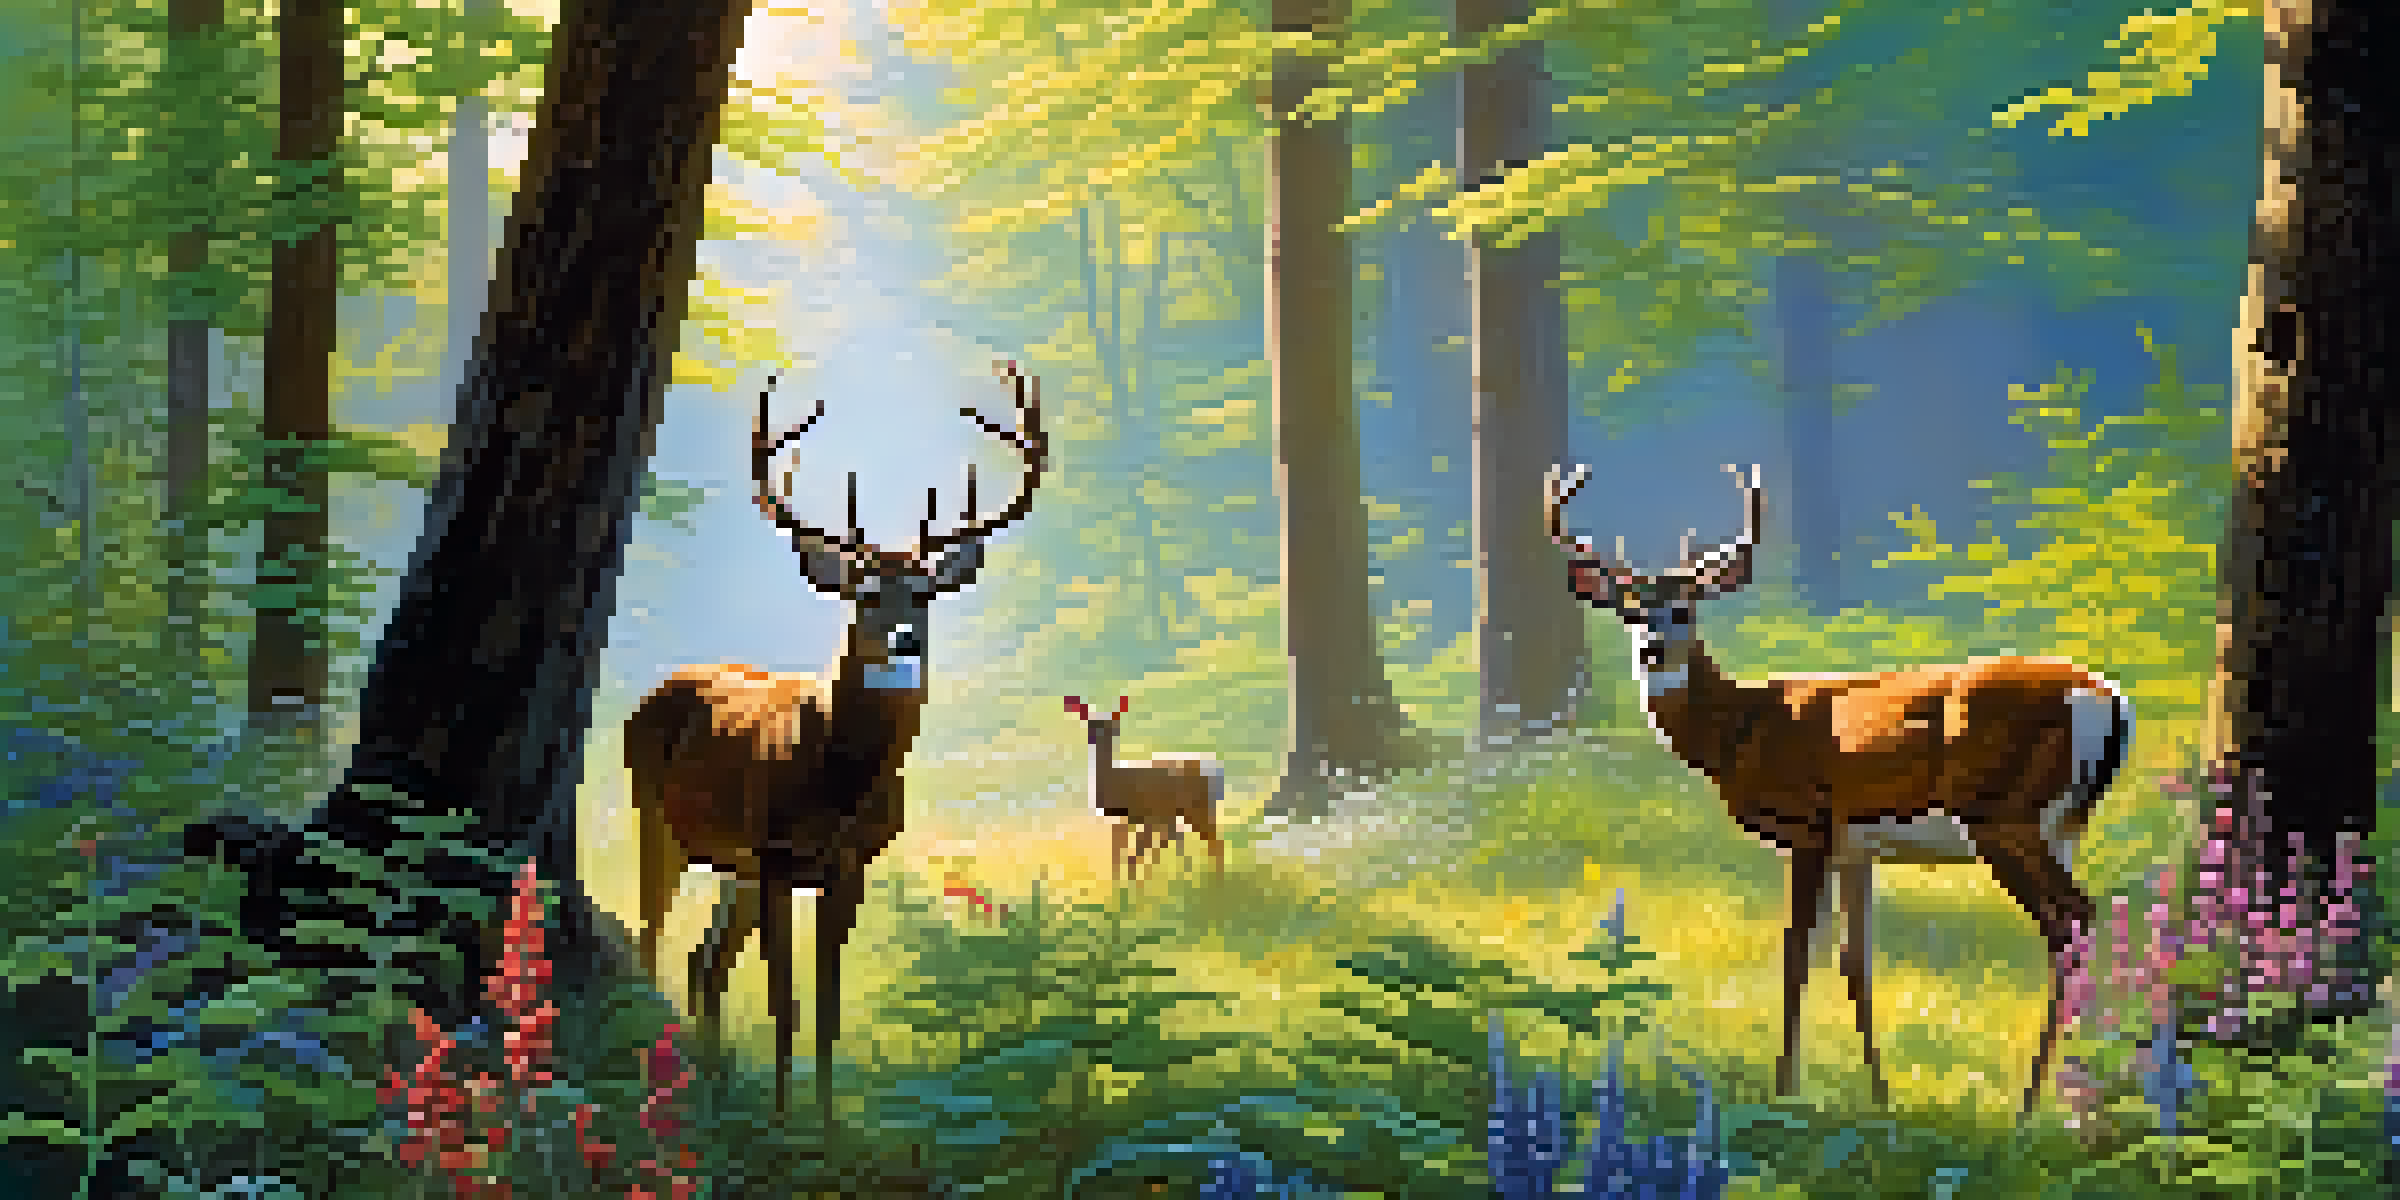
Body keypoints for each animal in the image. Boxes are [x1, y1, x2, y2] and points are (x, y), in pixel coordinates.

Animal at [624, 362, 1045, 1126]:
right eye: (865, 593)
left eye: (925, 594)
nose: (905, 642)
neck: (839, 783)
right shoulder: (776, 854)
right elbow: (784, 1005)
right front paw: (785, 1125)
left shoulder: (847, 866)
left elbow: (827, 1010)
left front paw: (824, 1128)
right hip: (657, 815)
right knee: (651, 942)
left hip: (733, 863)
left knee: (706, 960)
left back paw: (716, 1089)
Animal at [1063, 695, 1226, 883]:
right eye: (1090, 723)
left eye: (1113, 725)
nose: (1093, 738)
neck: (1114, 780)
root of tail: (1216, 772)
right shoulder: (1127, 818)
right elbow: (1120, 853)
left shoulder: (1146, 814)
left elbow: (1133, 852)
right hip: (1189, 810)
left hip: (1198, 807)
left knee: (1214, 840)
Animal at [1545, 462, 2132, 1116]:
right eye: (1630, 612)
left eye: (1684, 611)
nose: (1652, 651)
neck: (1742, 730)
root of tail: (2105, 698)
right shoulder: (1856, 847)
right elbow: (1857, 963)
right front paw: (1880, 1098)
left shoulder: (1808, 824)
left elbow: (1796, 954)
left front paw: (1782, 1090)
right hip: (2063, 825)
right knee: (2078, 924)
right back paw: (2079, 1093)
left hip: (2002, 814)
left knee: (2070, 919)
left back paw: (2032, 1105)